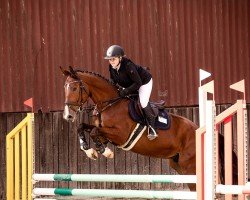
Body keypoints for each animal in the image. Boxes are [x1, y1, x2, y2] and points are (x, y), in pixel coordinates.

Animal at [59, 66, 235, 191]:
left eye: (74, 88)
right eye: (64, 87)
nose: (68, 116)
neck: (110, 104)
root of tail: (198, 129)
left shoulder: (121, 135)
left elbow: (96, 132)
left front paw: (104, 151)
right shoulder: (103, 130)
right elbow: (83, 127)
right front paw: (89, 150)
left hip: (190, 166)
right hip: (179, 165)